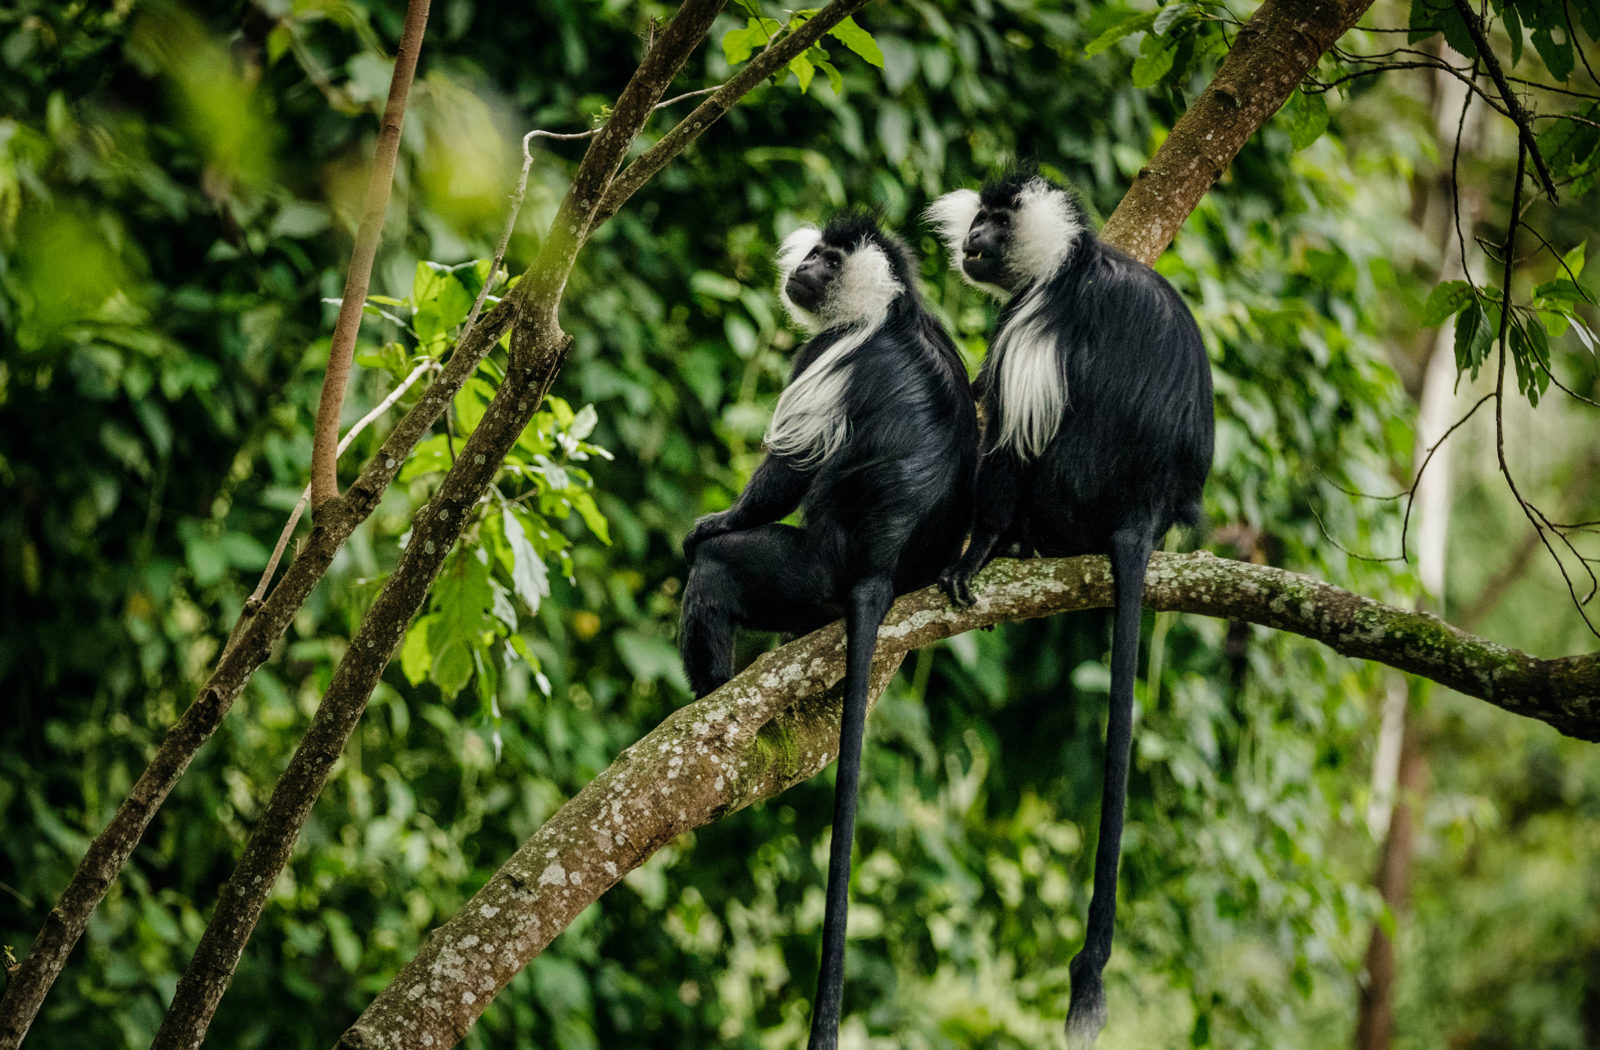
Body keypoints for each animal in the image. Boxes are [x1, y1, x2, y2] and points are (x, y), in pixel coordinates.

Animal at [675, 212, 972, 1050]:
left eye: (829, 260)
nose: (803, 267)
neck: (890, 308)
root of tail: (877, 568)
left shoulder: (827, 356)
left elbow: (786, 473)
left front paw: (714, 521)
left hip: (805, 571)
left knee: (721, 575)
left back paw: (708, 694)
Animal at [928, 174, 1209, 1050]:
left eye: (994, 222)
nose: (970, 241)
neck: (1070, 261)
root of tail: (1141, 511)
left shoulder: (1033, 323)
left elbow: (1010, 444)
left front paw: (974, 554)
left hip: (1070, 492)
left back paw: (1010, 545)